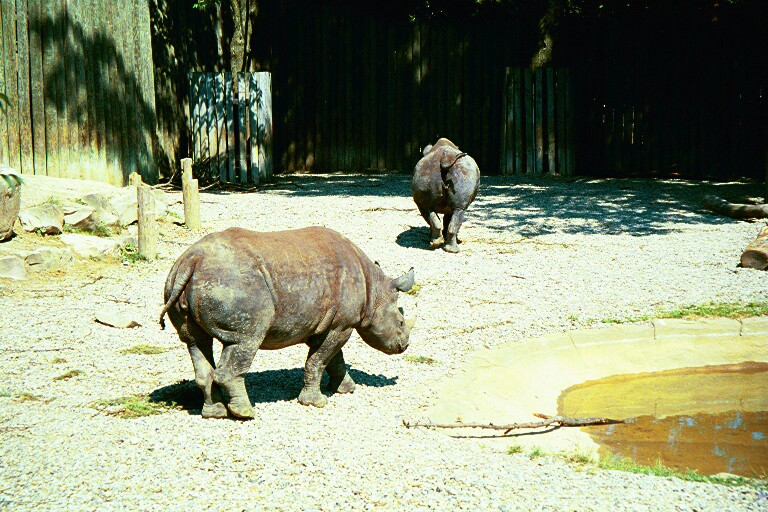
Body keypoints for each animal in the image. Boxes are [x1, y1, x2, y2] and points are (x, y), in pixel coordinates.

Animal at [159, 226, 415, 418]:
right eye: (402, 322)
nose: (404, 346)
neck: (374, 290)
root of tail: (190, 262)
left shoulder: (325, 323)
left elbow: (333, 359)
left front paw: (346, 389)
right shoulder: (342, 324)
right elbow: (319, 360)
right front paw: (316, 402)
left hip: (182, 280)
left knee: (196, 342)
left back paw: (215, 413)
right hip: (233, 283)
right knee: (245, 340)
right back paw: (245, 413)